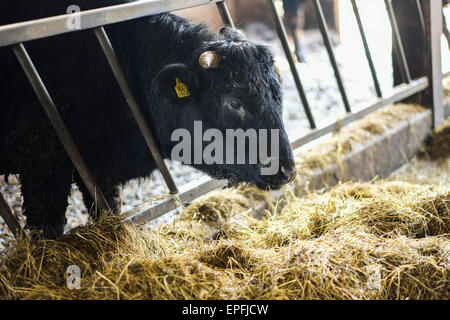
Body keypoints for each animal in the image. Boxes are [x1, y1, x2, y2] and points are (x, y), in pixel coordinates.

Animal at [0, 0, 296, 238]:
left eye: (278, 91)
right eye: (234, 103)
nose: (287, 170)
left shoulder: (97, 167)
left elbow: (107, 207)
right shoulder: (42, 162)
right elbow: (47, 227)